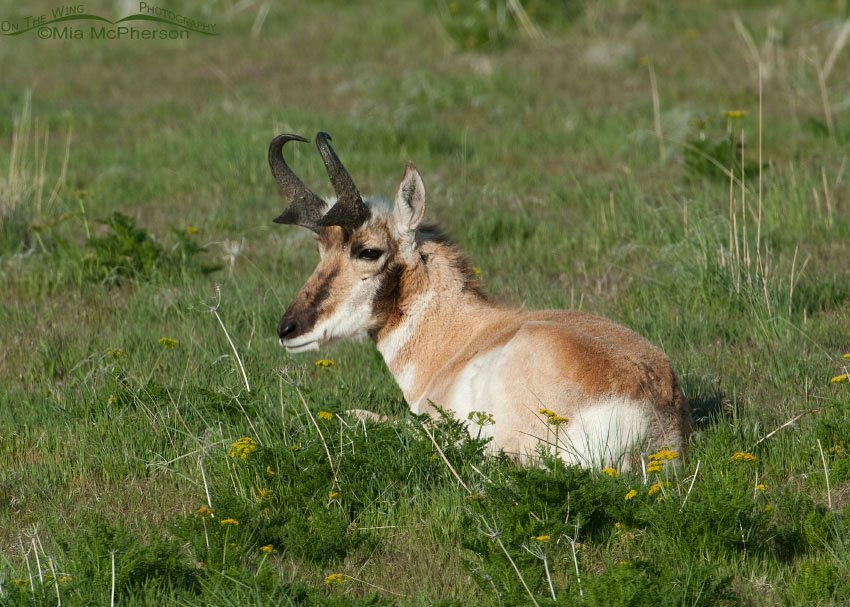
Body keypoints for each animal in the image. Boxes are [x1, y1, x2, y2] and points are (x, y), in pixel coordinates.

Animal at [270, 132, 690, 469]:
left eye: (369, 251)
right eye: (321, 248)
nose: (287, 329)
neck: (461, 336)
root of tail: (654, 411)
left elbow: (356, 414)